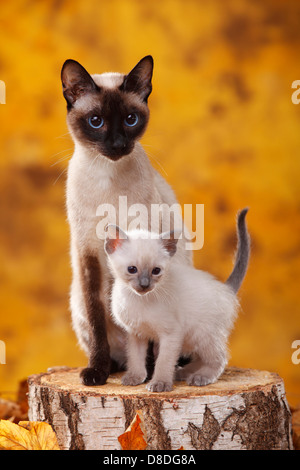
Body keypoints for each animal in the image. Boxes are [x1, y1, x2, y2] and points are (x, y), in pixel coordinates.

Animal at [61, 55, 192, 386]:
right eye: (96, 122)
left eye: (131, 119)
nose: (119, 144)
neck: (107, 176)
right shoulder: (89, 256)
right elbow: (98, 321)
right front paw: (96, 372)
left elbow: (151, 333)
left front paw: (149, 374)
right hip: (77, 299)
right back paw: (114, 367)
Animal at [104, 207, 250, 392]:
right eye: (132, 269)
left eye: (156, 271)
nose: (144, 285)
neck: (139, 300)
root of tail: (226, 289)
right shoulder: (136, 333)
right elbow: (136, 358)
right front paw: (135, 377)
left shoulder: (171, 334)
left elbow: (163, 362)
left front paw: (160, 383)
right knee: (203, 358)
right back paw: (183, 372)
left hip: (201, 335)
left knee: (220, 358)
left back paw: (200, 377)